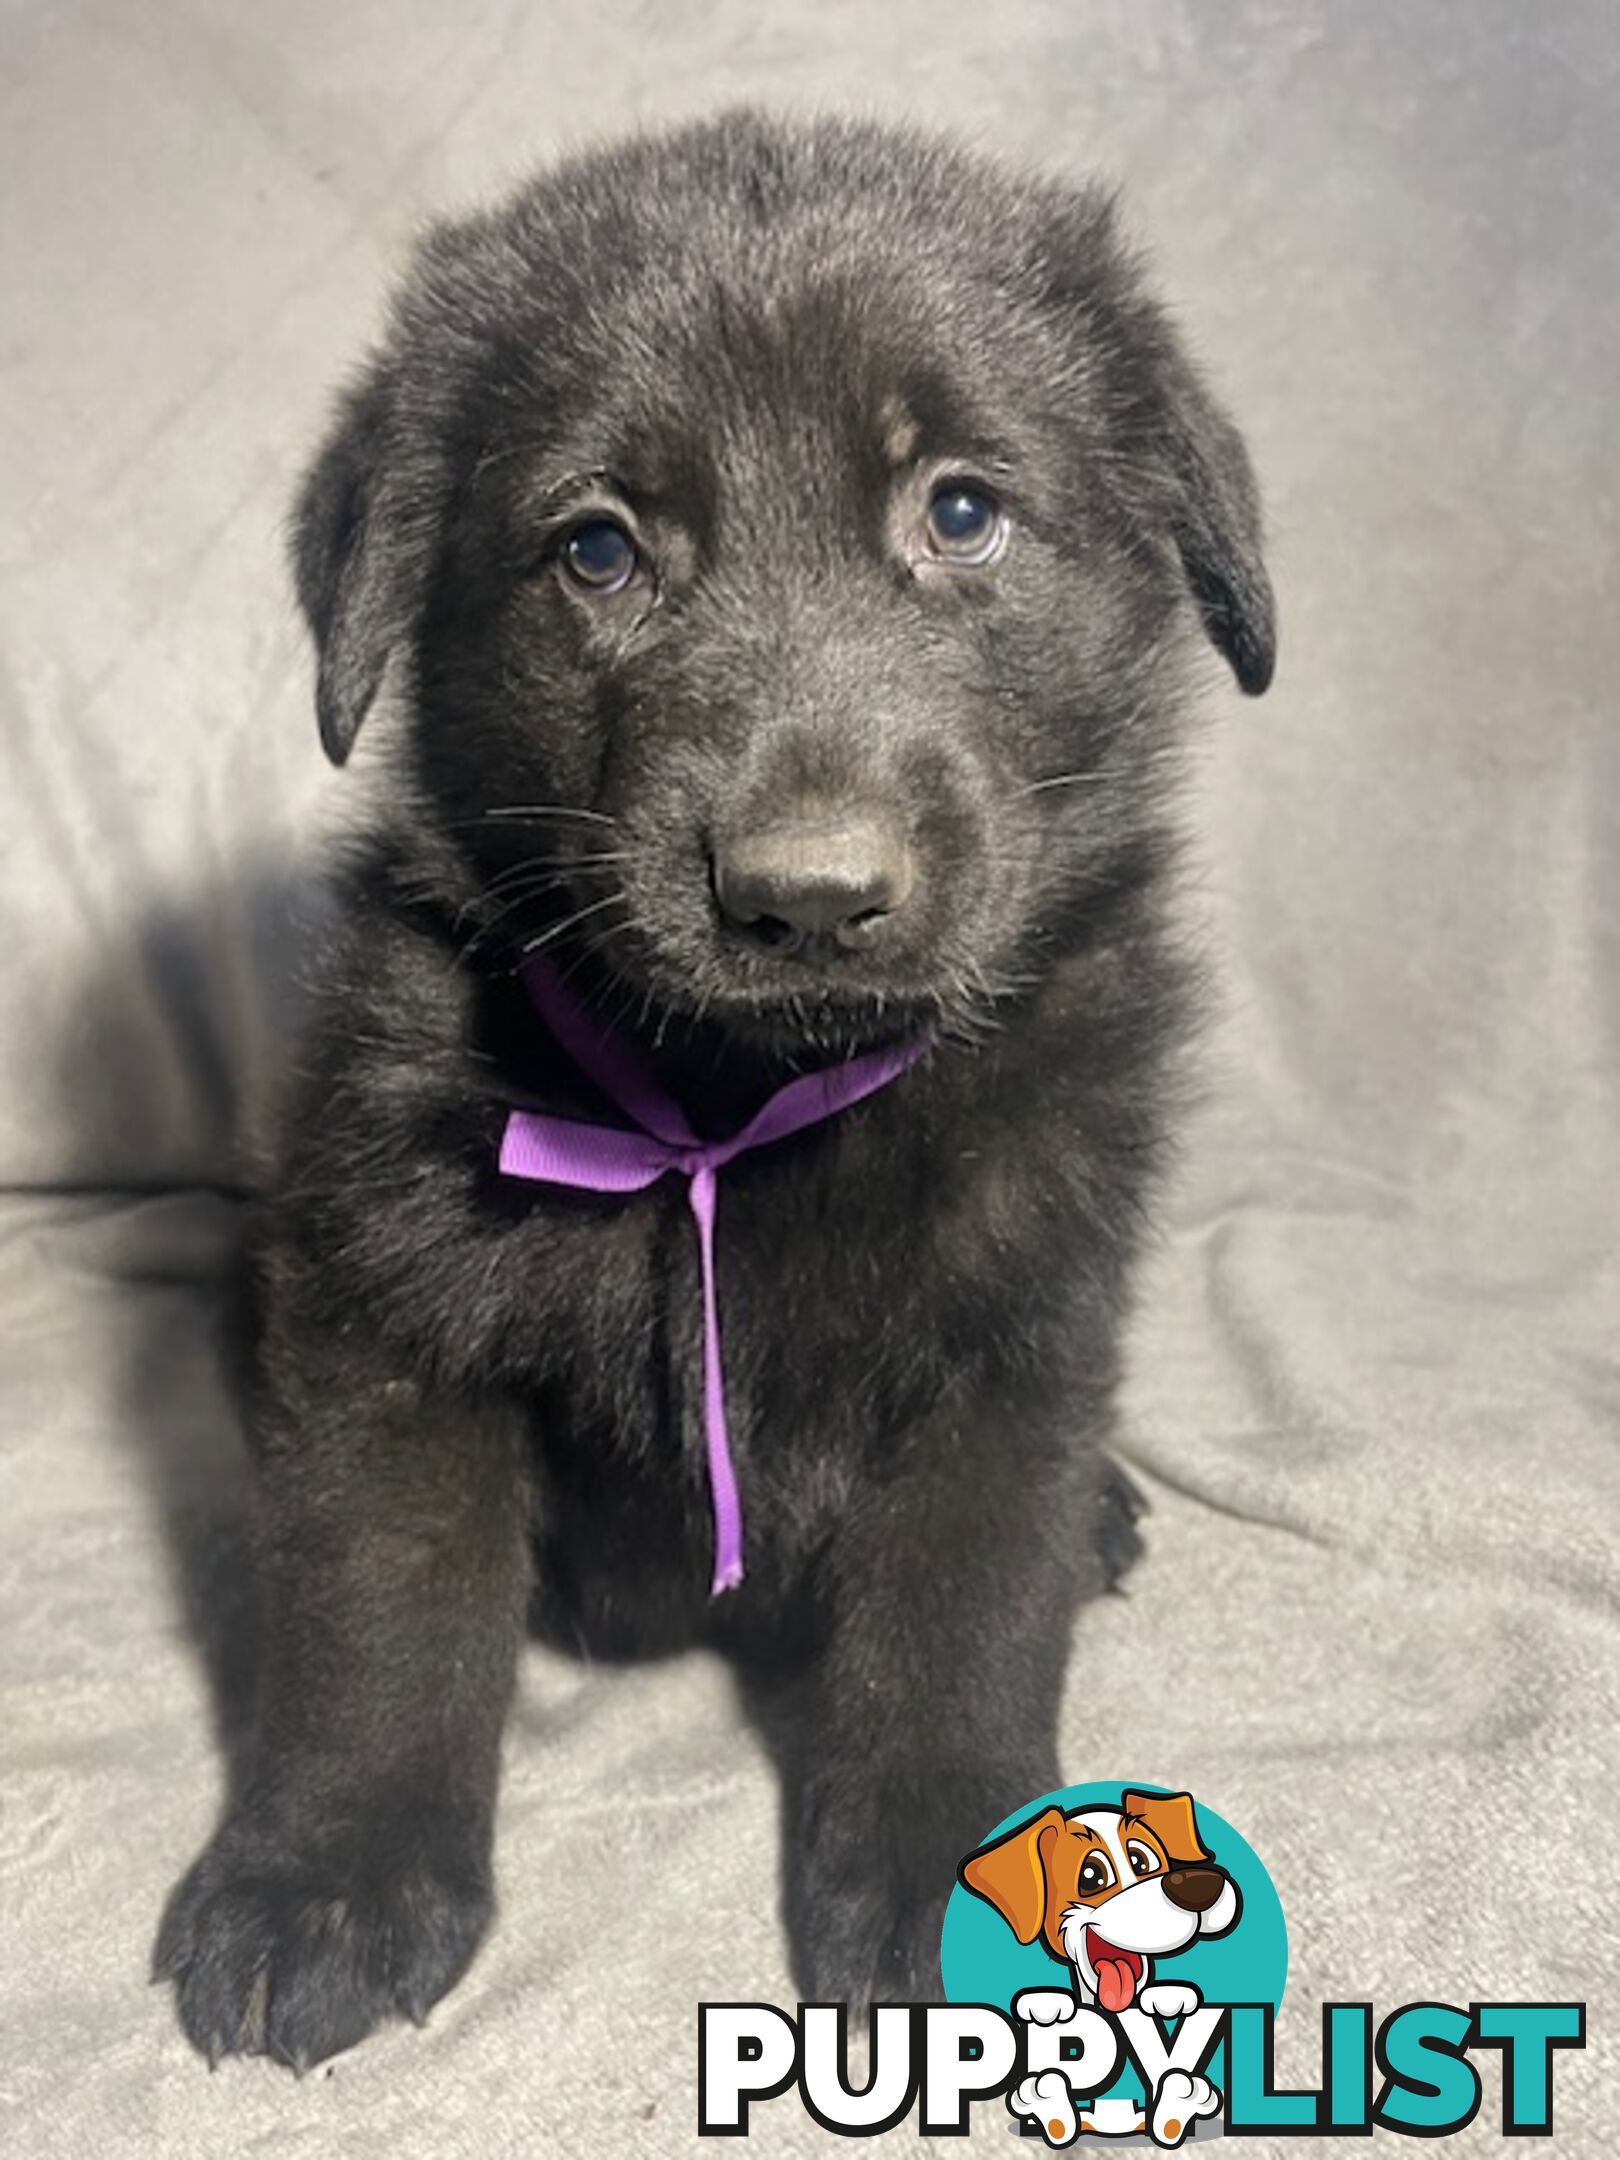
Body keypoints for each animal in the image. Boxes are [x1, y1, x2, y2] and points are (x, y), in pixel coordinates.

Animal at [155, 109, 1270, 2064]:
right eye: (600, 551)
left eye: (961, 512)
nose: (804, 893)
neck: (738, 1112)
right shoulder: (381, 1317)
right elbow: (381, 1606)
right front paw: (328, 1876)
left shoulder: (1016, 1338)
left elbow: (964, 1616)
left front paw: (957, 1882)